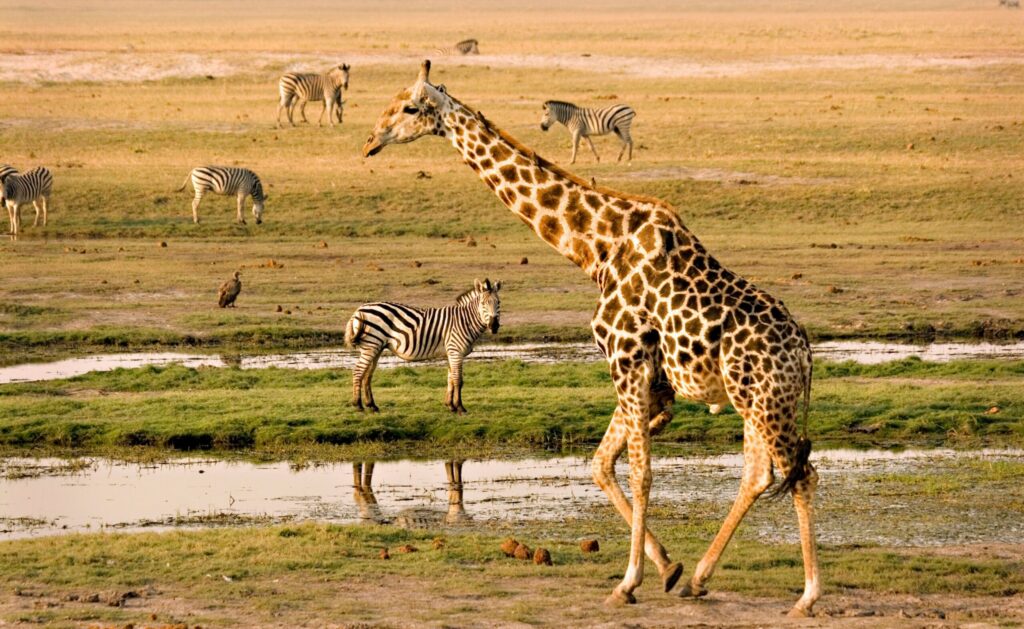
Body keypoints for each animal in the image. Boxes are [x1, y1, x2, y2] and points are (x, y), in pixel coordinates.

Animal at [363, 61, 820, 616]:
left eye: (409, 108)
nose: (371, 140)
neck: (596, 248)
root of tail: (805, 353)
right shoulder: (646, 378)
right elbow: (602, 465)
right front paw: (667, 569)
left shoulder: (628, 359)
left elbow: (639, 472)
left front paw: (628, 582)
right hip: (750, 400)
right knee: (760, 474)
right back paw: (699, 578)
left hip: (767, 401)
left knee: (801, 474)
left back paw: (807, 596)